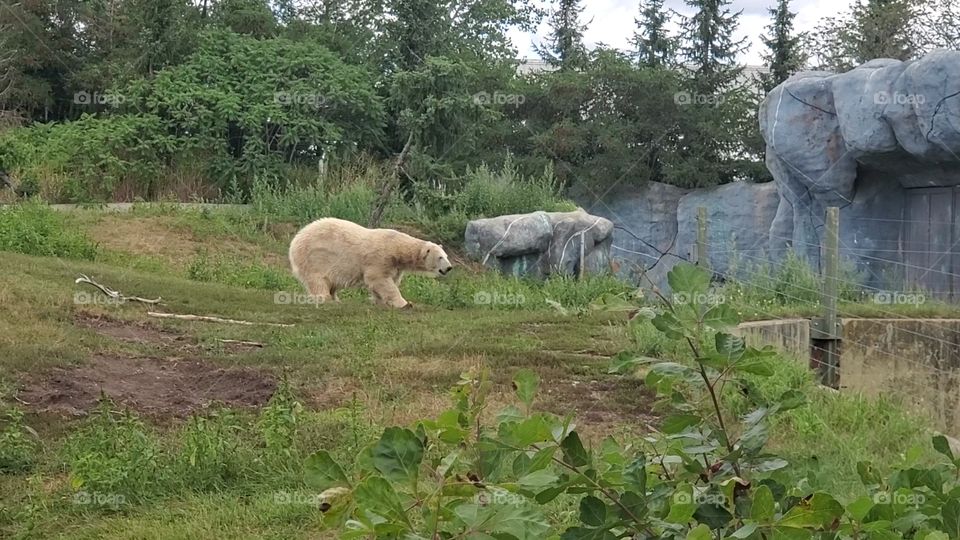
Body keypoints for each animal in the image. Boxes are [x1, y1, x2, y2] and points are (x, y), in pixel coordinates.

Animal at [288, 218, 453, 308]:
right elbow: (379, 279)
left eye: (446, 256)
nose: (449, 267)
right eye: (440, 257)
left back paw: (336, 299)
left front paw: (380, 301)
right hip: (315, 258)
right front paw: (405, 303)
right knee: (318, 280)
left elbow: (387, 281)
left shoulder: (395, 265)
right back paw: (326, 299)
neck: (396, 247)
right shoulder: (380, 258)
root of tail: (296, 239)